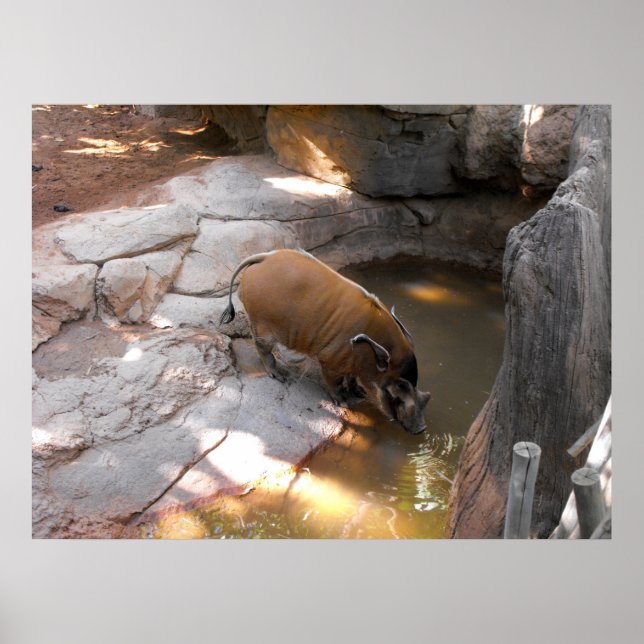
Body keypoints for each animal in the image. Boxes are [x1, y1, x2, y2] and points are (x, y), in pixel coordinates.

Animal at [220, 249, 430, 434]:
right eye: (396, 391)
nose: (421, 429)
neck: (366, 354)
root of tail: (264, 257)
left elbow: (352, 379)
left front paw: (358, 393)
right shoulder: (330, 361)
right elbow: (334, 383)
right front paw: (343, 402)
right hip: (262, 325)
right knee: (262, 348)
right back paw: (278, 376)